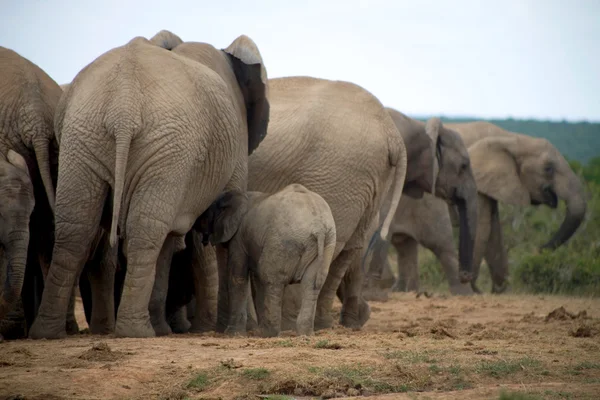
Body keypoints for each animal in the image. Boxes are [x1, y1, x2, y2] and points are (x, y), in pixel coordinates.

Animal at [29, 29, 268, 340]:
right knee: (146, 229)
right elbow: (218, 241)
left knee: (76, 229)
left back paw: (47, 332)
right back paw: (136, 331)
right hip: (168, 146)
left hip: (83, 136)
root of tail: (123, 108)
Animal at [198, 184, 336, 338]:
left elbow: (237, 277)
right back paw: (304, 334)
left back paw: (267, 333)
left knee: (271, 280)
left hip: (283, 241)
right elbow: (256, 280)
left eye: (205, 215)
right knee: (311, 285)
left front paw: (232, 334)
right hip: (326, 245)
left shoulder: (239, 238)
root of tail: (319, 227)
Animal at [245, 76, 408, 332]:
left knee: (334, 244)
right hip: (370, 179)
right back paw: (325, 324)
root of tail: (391, 131)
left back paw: (293, 325)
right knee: (347, 247)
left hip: (338, 174)